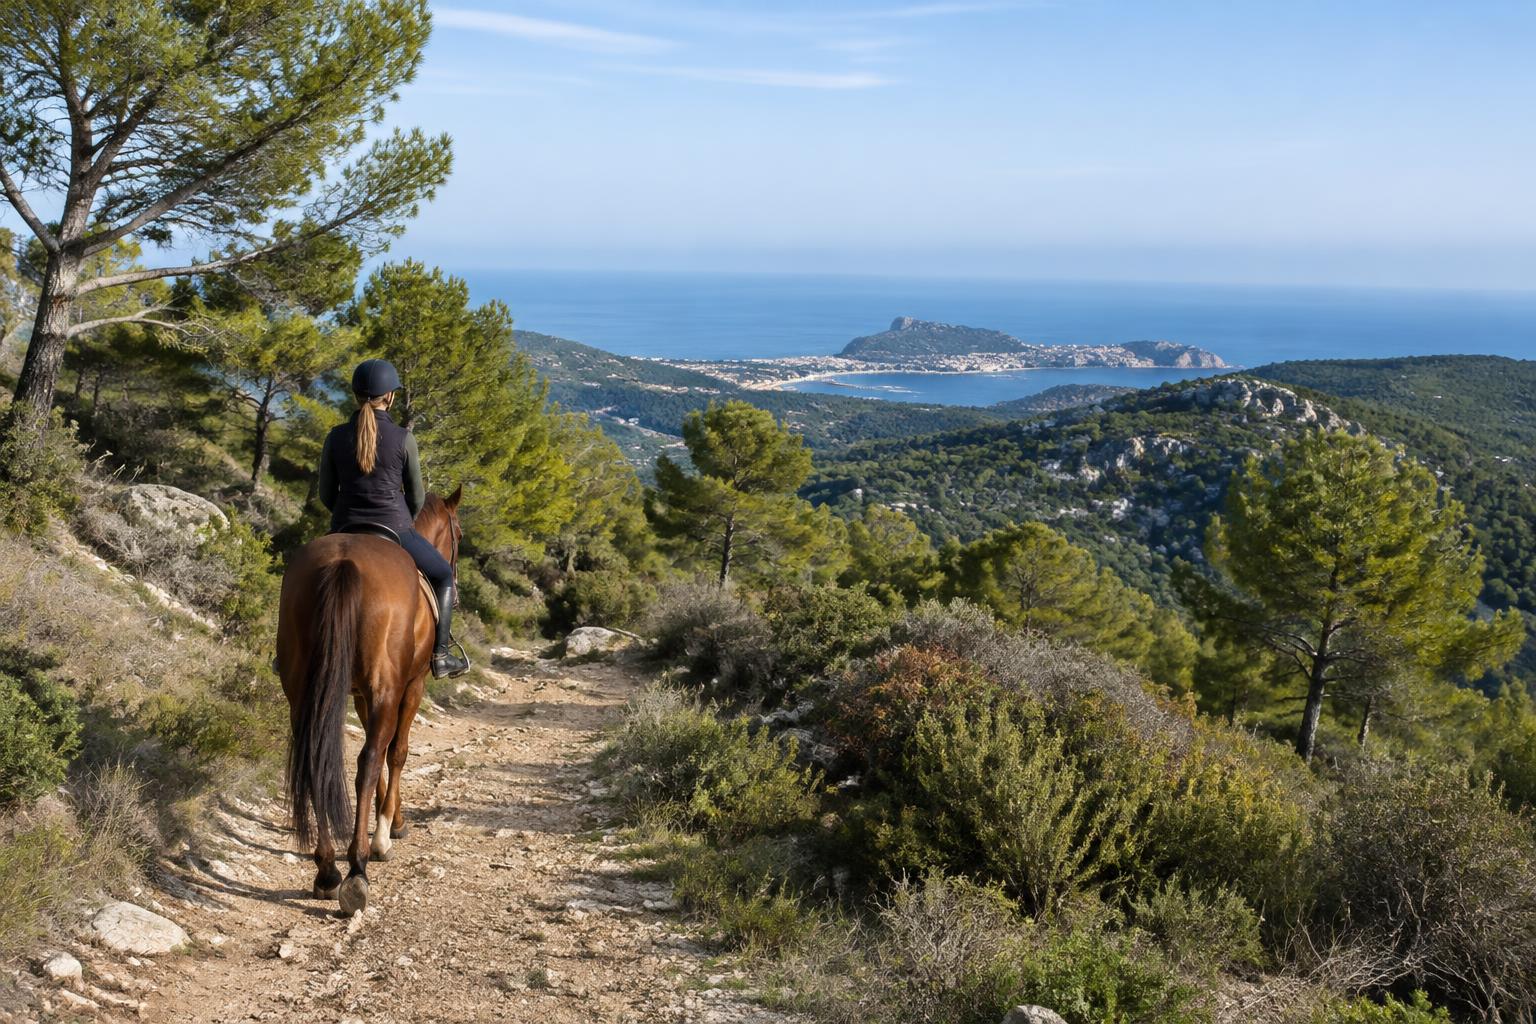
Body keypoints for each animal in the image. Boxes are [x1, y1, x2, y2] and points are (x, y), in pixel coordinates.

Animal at [275, 486, 463, 915]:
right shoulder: (409, 688)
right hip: (387, 689)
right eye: (458, 534)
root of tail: (343, 561)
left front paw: (390, 823)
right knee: (370, 760)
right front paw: (389, 830)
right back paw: (357, 869)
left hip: (303, 690)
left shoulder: (362, 696)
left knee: (319, 761)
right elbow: (397, 753)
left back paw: (327, 870)